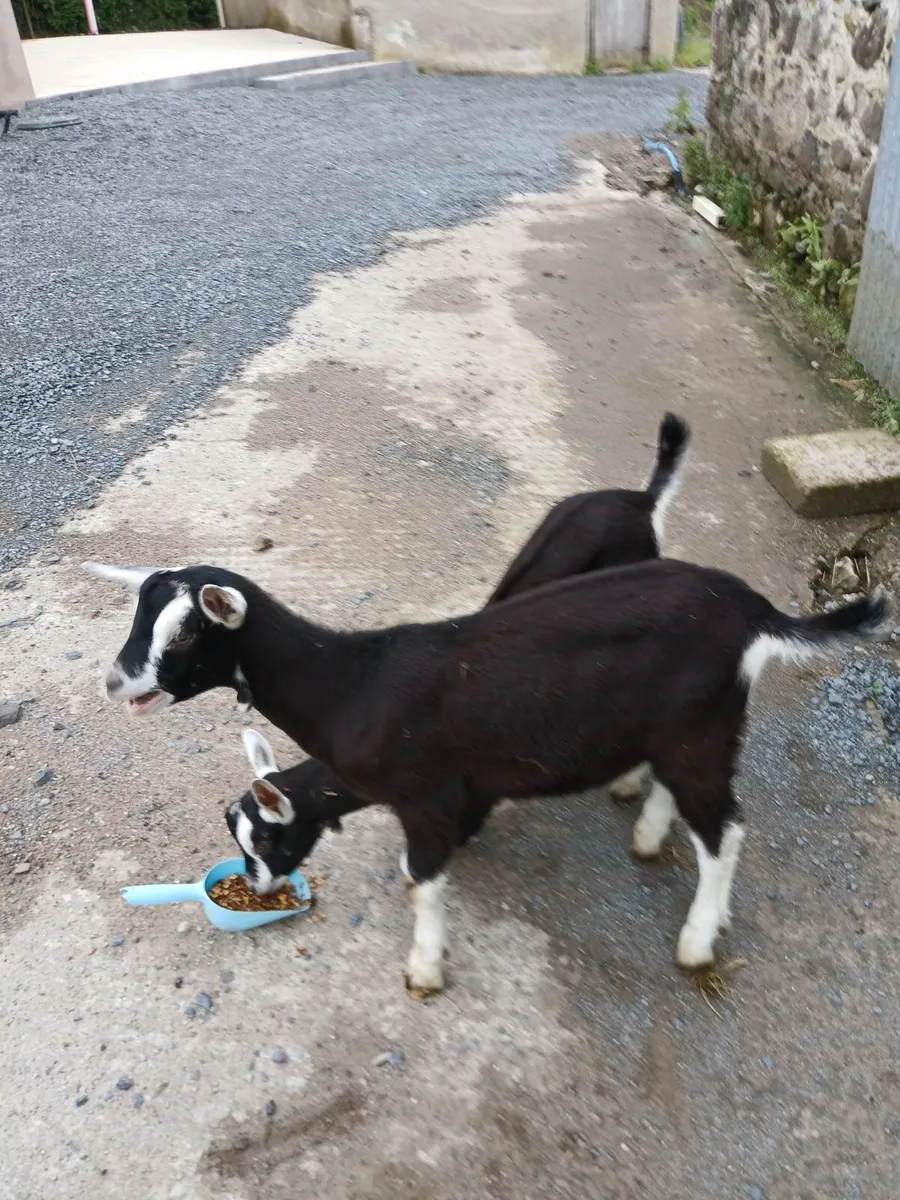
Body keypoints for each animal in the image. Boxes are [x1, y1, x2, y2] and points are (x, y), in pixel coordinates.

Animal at [88, 551, 886, 996]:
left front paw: (424, 969)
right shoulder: (469, 787)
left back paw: (697, 939)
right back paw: (647, 829)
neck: (355, 685)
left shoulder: (427, 796)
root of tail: (755, 612)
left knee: (726, 830)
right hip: (679, 729)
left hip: (701, 733)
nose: (116, 681)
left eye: (185, 632)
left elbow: (423, 878)